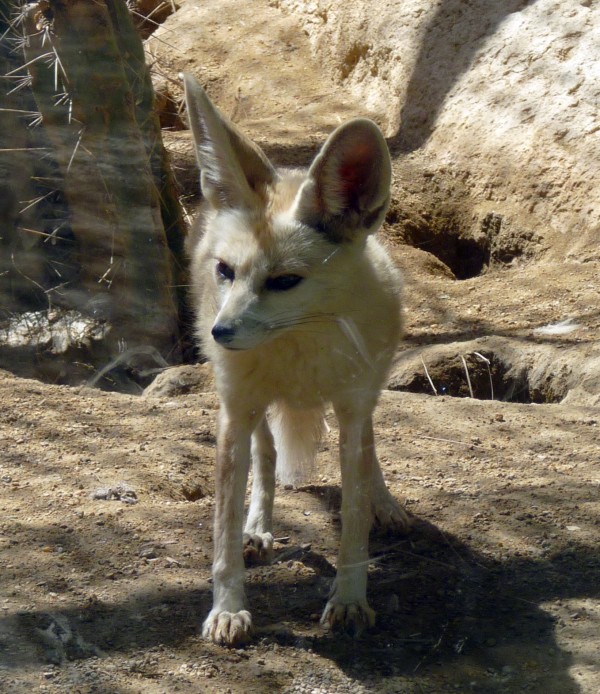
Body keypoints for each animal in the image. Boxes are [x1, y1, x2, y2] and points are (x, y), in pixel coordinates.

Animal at [183, 73, 410, 647]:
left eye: (284, 281)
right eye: (225, 271)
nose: (219, 333)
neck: (301, 351)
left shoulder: (351, 411)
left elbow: (353, 518)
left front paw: (349, 599)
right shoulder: (235, 414)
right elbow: (221, 534)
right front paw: (228, 609)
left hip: (366, 398)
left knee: (372, 452)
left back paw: (386, 504)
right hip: (251, 407)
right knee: (265, 456)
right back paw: (259, 526)